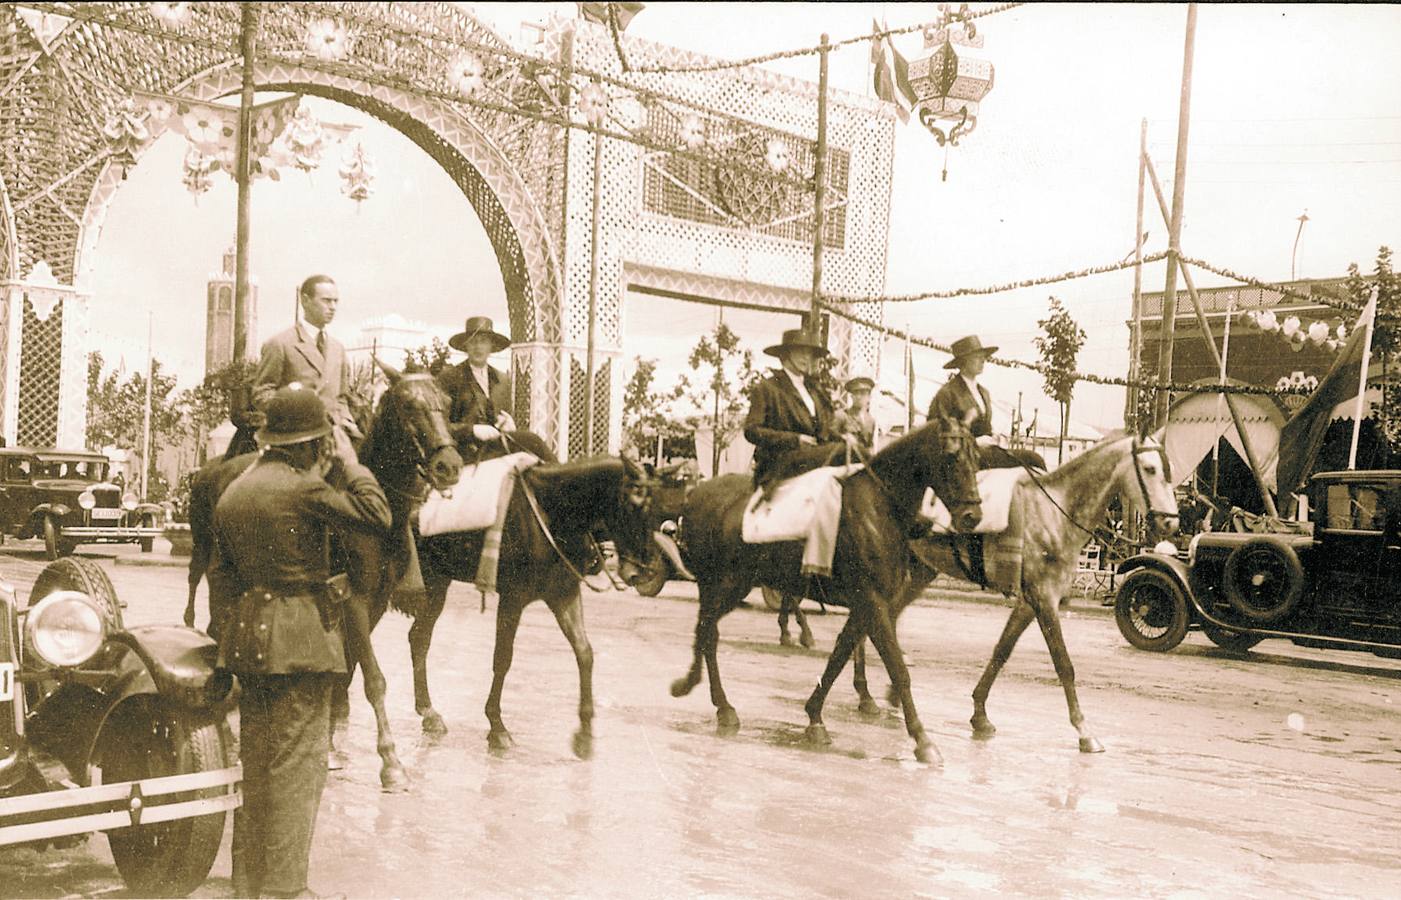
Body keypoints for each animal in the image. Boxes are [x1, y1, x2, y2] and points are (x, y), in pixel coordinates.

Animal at [669, 417, 980, 762]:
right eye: (952, 456)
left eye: (977, 457)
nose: (973, 515)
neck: (879, 508)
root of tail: (696, 494)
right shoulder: (874, 601)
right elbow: (896, 668)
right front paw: (922, 740)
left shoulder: (868, 603)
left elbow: (840, 654)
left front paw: (815, 717)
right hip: (725, 585)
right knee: (708, 633)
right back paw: (715, 701)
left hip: (724, 586)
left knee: (707, 631)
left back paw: (703, 690)